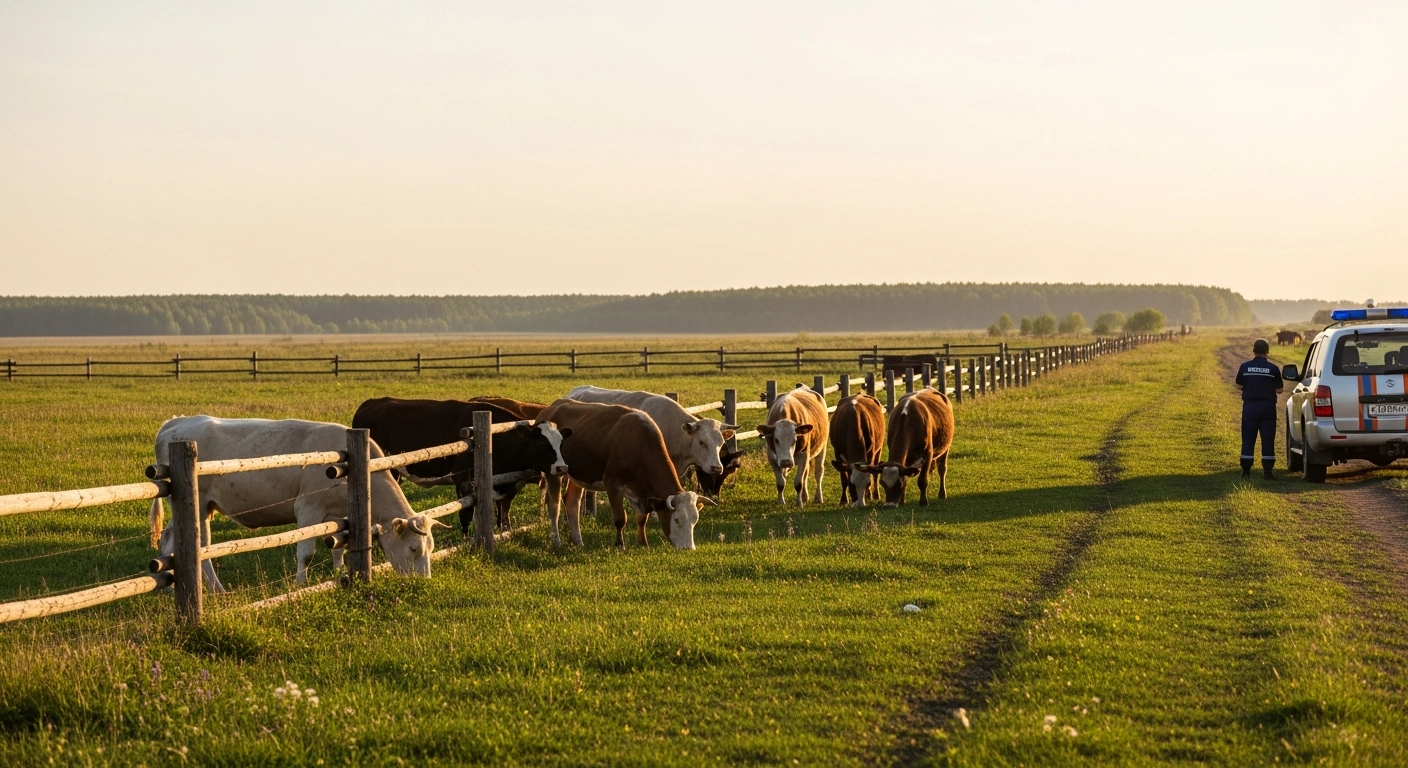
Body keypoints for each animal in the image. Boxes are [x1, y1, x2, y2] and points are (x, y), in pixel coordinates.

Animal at [149, 416, 448, 591]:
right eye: (413, 548)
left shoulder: (341, 514)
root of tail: (175, 423)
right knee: (199, 545)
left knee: (173, 540)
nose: (424, 583)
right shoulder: (307, 509)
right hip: (197, 505)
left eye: (432, 548)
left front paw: (340, 573)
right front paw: (300, 584)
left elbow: (339, 547)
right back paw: (216, 589)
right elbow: (306, 553)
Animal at [351, 398, 569, 534]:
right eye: (542, 444)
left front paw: (503, 531)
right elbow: (466, 514)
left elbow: (503, 510)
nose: (562, 467)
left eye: (560, 443)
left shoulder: (505, 482)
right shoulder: (463, 480)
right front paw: (466, 541)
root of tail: (371, 403)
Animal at [536, 399, 711, 550]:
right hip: (554, 472)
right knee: (554, 507)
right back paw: (556, 541)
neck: (638, 445)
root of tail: (550, 408)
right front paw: (620, 545)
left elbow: (642, 518)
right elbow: (620, 518)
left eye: (695, 520)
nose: (688, 548)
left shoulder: (642, 492)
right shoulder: (613, 485)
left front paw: (643, 542)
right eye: (676, 519)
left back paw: (578, 540)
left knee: (572, 502)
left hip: (578, 475)